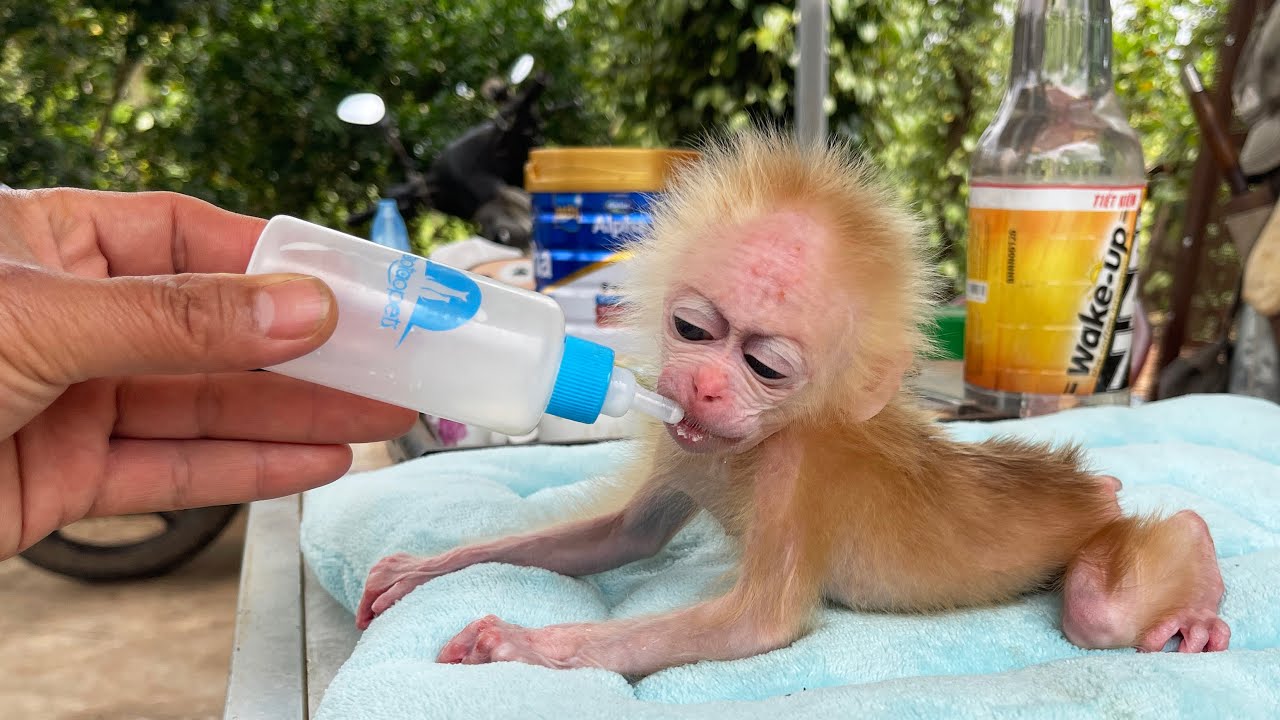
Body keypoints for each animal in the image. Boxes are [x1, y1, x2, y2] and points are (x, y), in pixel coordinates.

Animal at [354, 127, 1229, 678]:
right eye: (692, 329)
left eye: (765, 367)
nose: (702, 386)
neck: (756, 445)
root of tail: (1083, 487)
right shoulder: (685, 446)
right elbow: (621, 538)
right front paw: (424, 571)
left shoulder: (795, 475)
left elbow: (759, 623)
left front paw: (521, 647)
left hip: (1098, 548)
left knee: (1101, 607)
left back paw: (1194, 560)